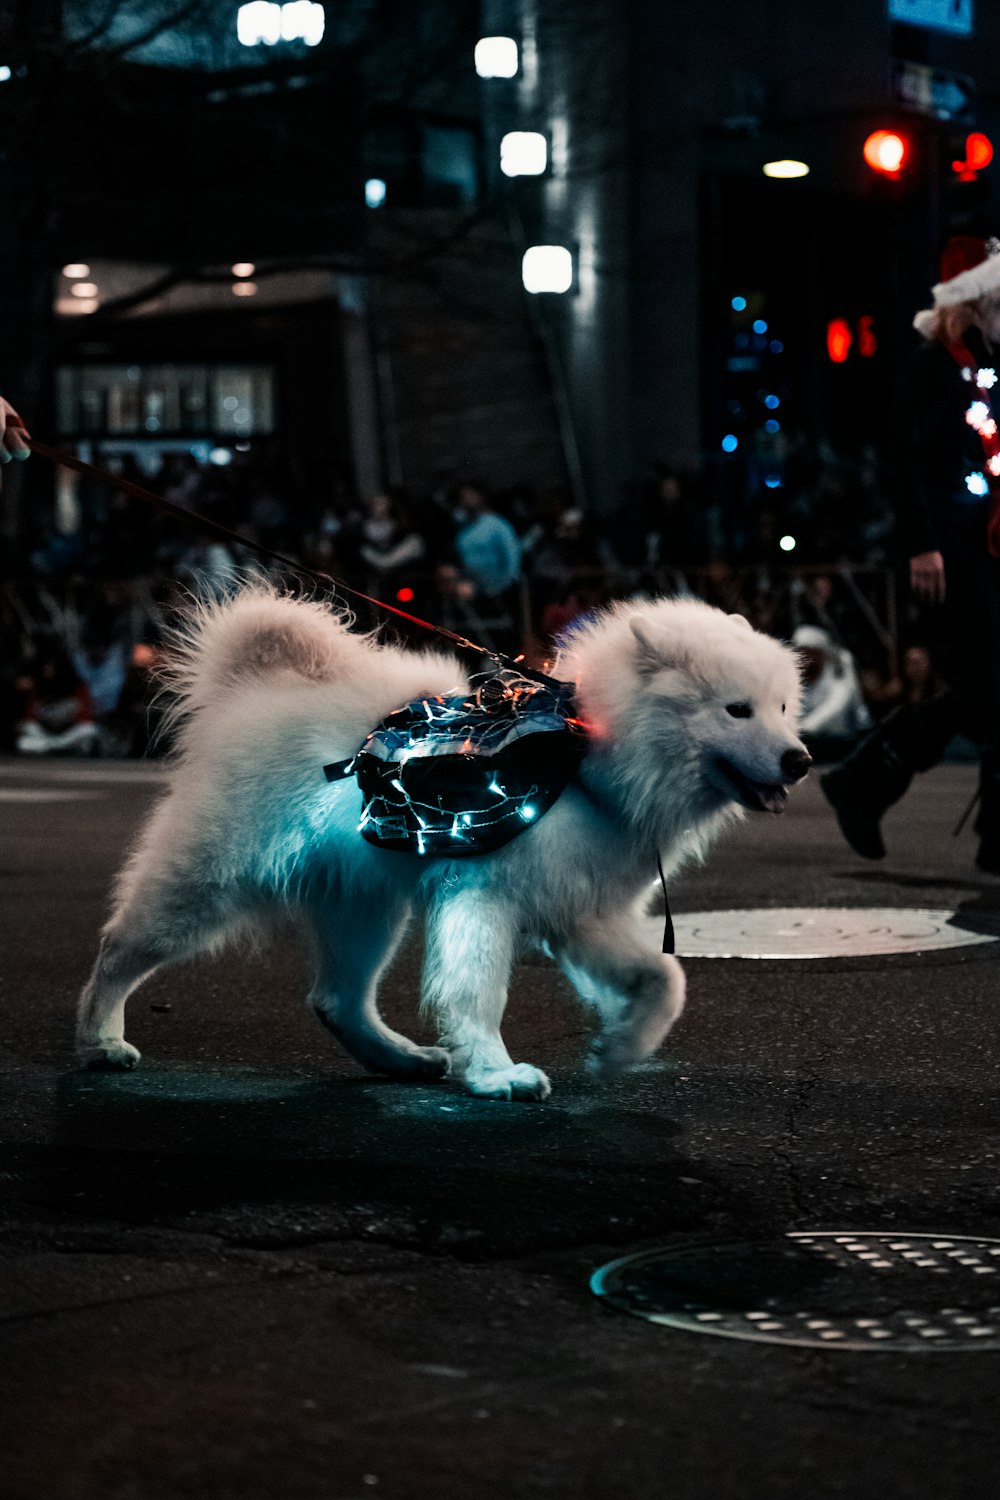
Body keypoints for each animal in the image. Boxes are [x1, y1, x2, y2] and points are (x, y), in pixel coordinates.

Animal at [78, 588, 815, 1104]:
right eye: (736, 710)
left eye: (782, 708)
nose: (802, 760)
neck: (586, 756)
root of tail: (250, 689)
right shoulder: (484, 895)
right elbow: (476, 992)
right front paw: (497, 1075)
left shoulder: (583, 907)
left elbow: (664, 979)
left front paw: (620, 1046)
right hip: (210, 881)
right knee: (118, 948)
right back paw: (100, 1040)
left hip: (364, 904)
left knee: (337, 999)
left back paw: (401, 1059)